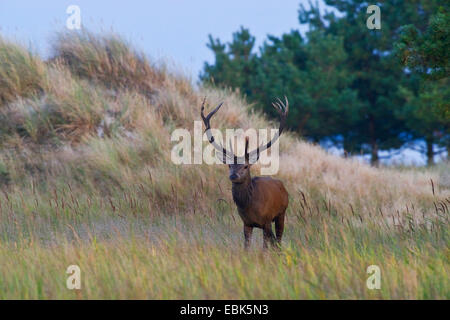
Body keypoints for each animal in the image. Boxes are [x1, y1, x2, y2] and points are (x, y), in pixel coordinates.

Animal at [200, 97, 288, 250]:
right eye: (230, 165)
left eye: (246, 166)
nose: (233, 175)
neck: (250, 206)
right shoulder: (246, 223)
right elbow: (246, 247)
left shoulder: (266, 221)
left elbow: (265, 248)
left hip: (281, 213)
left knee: (278, 240)